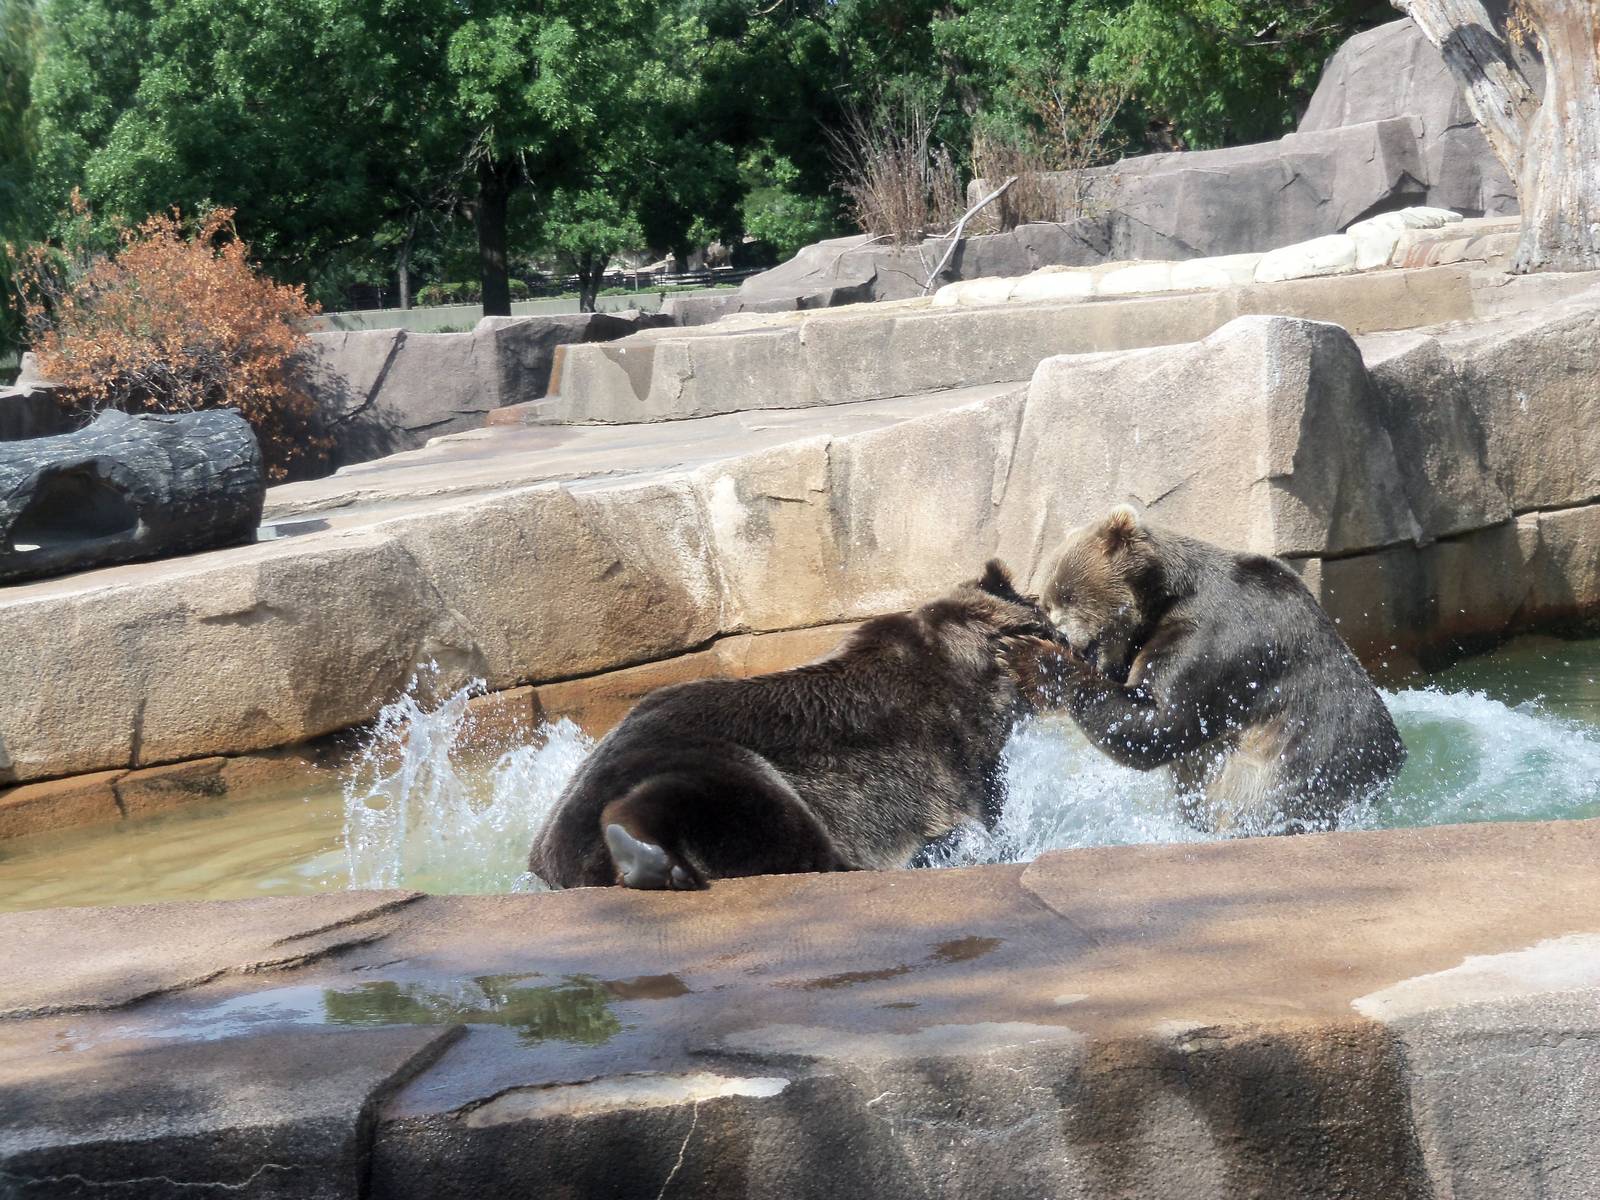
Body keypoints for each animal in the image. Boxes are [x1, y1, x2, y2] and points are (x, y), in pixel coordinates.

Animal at [528, 561, 1060, 890]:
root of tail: (556, 856)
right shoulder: (951, 753)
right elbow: (981, 818)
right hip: (710, 758)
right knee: (767, 817)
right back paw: (649, 853)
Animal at [1036, 506, 1405, 833]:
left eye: (1066, 594)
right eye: (1046, 601)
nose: (1059, 633)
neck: (1164, 601)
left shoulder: (1216, 637)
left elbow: (1158, 720)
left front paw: (1041, 658)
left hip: (1302, 771)